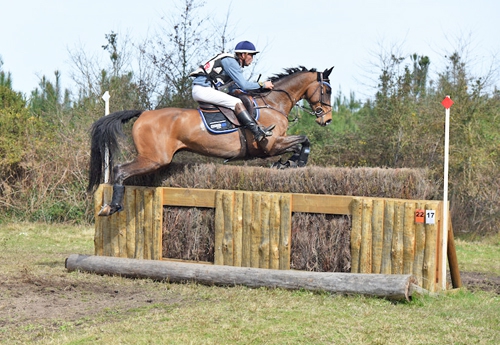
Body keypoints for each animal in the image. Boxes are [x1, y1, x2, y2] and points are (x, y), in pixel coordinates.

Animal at [88, 66, 334, 215]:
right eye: (327, 90)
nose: (327, 119)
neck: (273, 103)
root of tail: (144, 114)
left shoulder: (277, 143)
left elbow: (302, 141)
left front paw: (287, 163)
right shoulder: (271, 144)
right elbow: (304, 140)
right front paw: (295, 162)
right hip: (154, 158)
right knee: (120, 170)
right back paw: (111, 207)